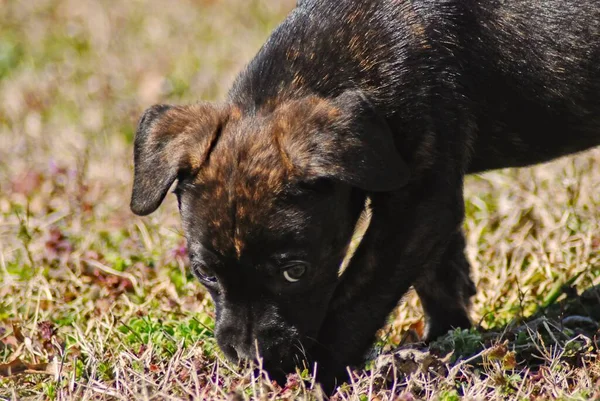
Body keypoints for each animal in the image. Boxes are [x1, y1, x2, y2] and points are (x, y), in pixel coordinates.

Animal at [130, 0, 600, 392]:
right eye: (204, 274)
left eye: (295, 272)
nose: (252, 362)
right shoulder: (428, 201)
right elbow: (439, 275)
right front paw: (447, 339)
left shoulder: (416, 208)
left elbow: (357, 296)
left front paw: (321, 376)